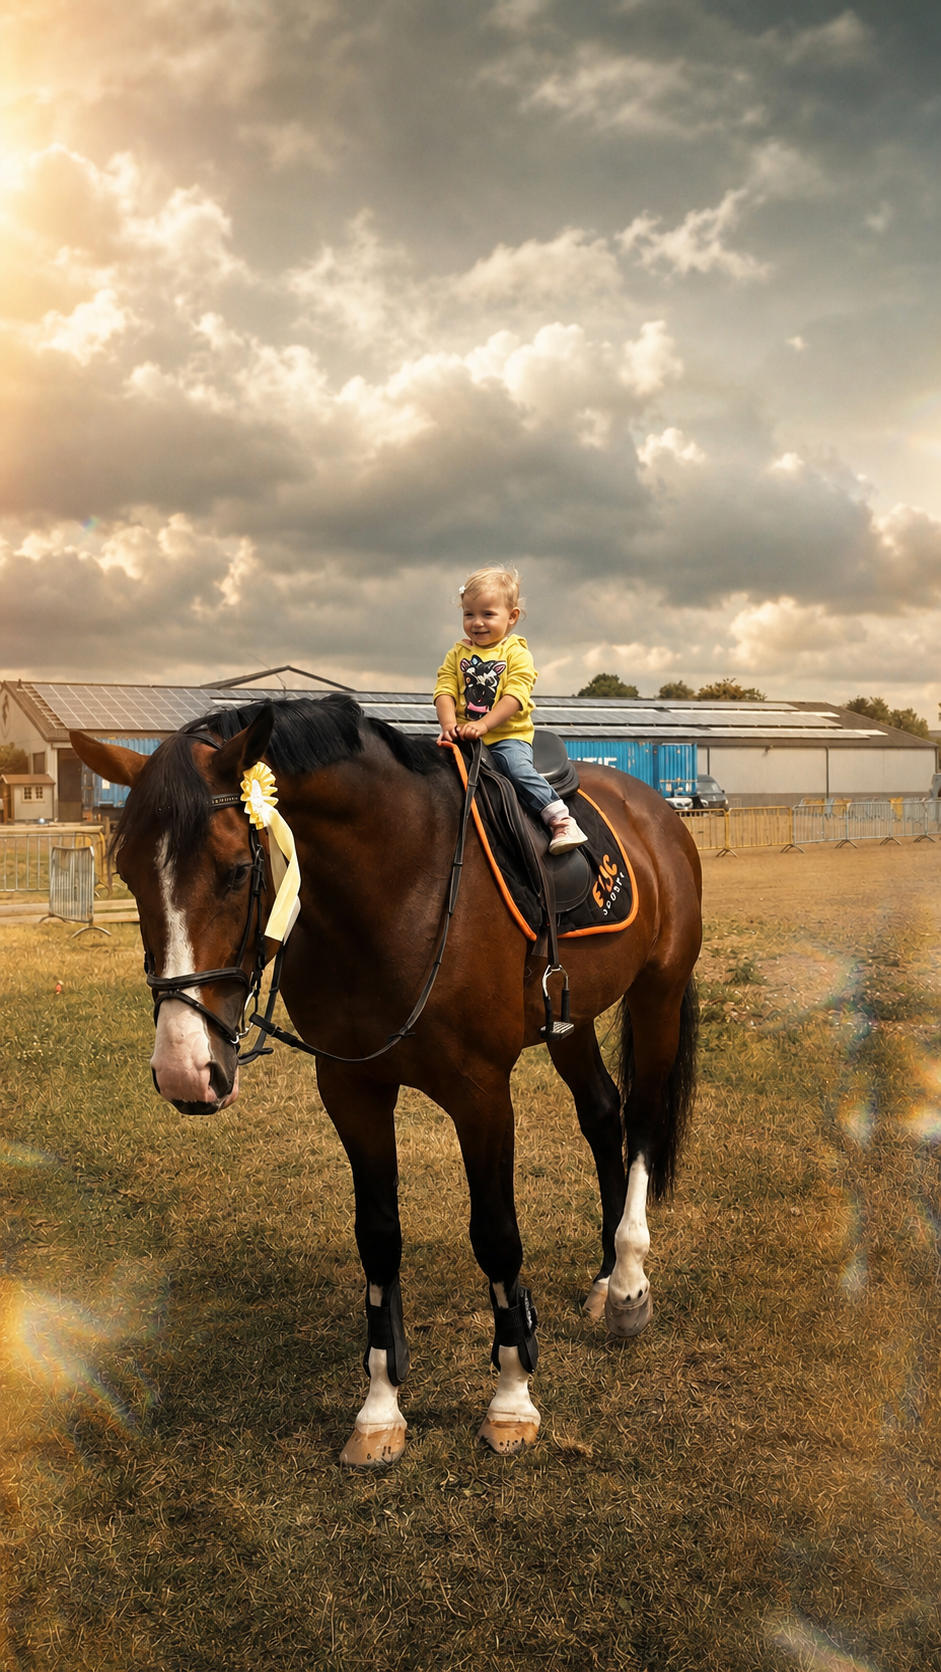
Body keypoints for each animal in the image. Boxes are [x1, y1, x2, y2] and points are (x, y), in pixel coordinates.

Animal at [71, 694, 702, 1467]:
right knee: (603, 1116)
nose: (185, 1069)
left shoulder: (480, 1093)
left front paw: (511, 1398)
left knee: (640, 1123)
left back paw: (630, 1283)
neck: (398, 891)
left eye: (236, 871)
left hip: (657, 993)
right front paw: (379, 1411)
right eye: (129, 875)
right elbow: (377, 1237)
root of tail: (652, 807)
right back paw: (607, 1274)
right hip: (571, 1018)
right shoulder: (352, 1091)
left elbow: (496, 1235)